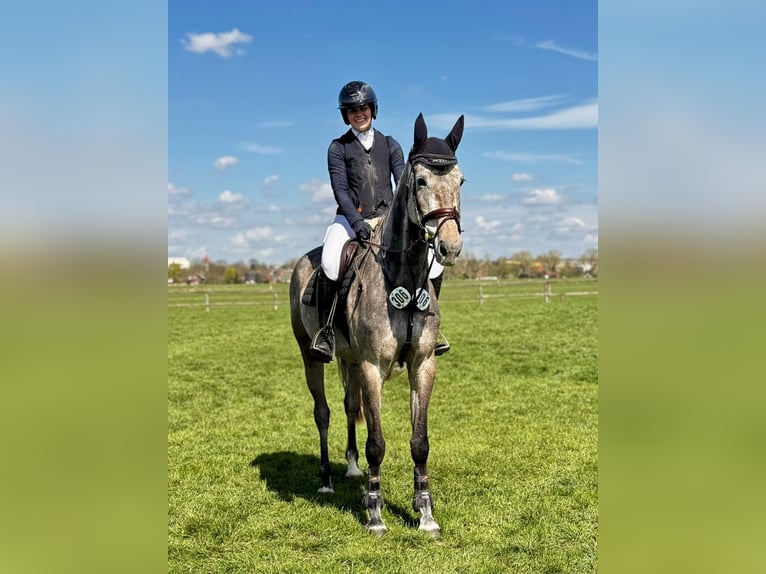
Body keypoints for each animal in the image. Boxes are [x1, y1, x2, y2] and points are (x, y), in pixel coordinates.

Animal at [289, 113, 465, 536]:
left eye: (461, 181)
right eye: (421, 181)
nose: (449, 247)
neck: (403, 276)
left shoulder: (422, 364)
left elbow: (419, 441)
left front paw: (425, 514)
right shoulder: (372, 366)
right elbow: (377, 442)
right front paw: (374, 514)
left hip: (350, 359)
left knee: (350, 406)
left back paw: (351, 468)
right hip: (312, 355)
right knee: (323, 412)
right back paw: (326, 480)